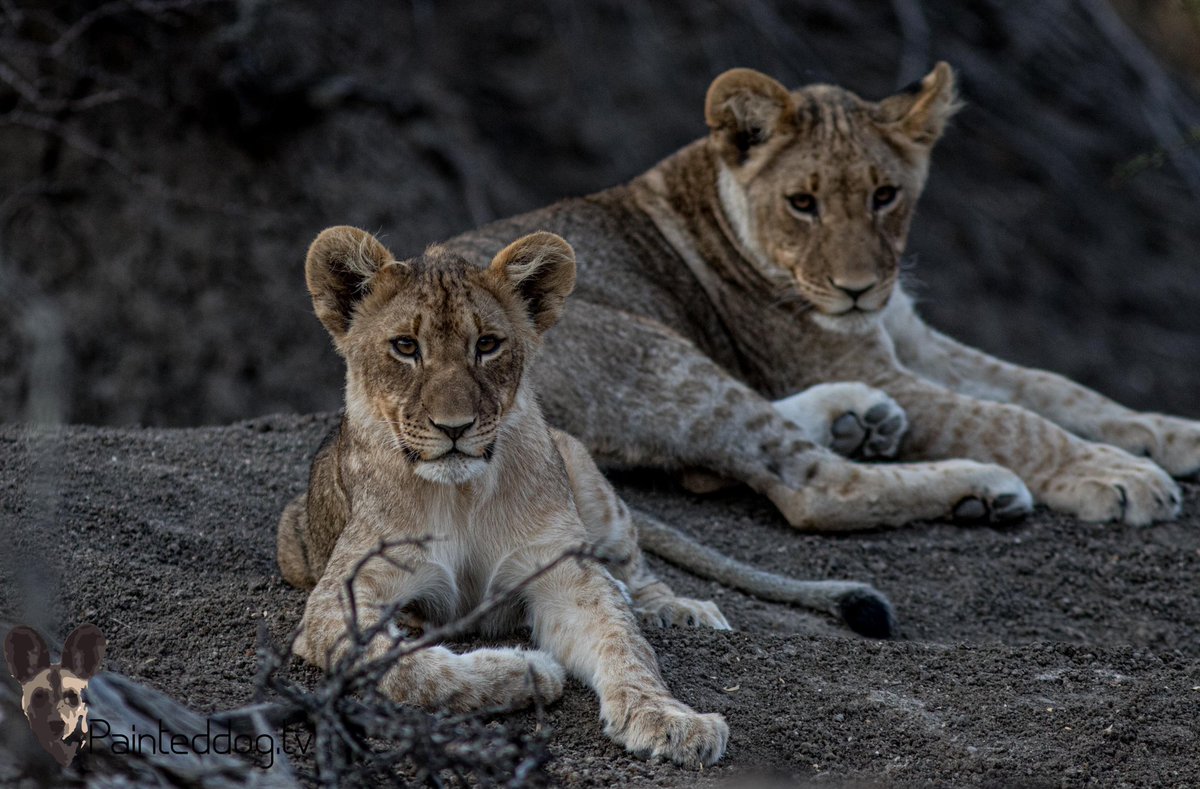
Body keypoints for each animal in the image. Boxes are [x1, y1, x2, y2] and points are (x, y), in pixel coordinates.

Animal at [277, 227, 919, 767]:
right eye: (405, 347)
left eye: (488, 344)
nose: (454, 427)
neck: (461, 494)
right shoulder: (337, 602)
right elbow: (404, 670)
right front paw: (528, 671)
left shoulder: (565, 574)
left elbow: (624, 644)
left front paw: (670, 720)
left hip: (591, 483)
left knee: (634, 570)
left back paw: (677, 607)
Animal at [433, 62, 1198, 529]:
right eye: (803, 203)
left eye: (885, 195)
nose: (858, 290)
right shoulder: (859, 358)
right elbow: (1011, 420)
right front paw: (1115, 474)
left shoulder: (912, 343)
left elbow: (1054, 387)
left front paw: (1169, 433)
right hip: (650, 351)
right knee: (812, 487)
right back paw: (981, 485)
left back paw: (859, 419)